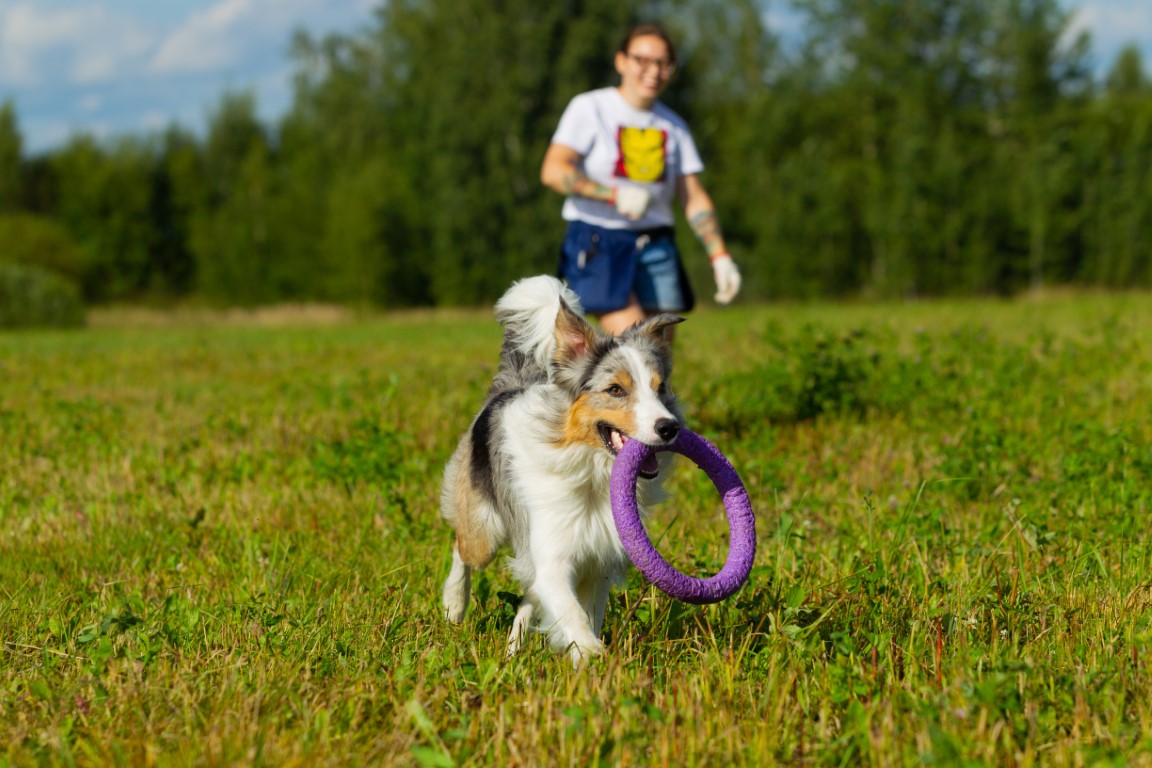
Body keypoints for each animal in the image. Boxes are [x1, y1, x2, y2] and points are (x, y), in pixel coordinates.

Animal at [435, 276, 677, 667]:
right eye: (615, 389)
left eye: (661, 388)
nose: (670, 428)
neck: (592, 472)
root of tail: (509, 384)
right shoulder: (551, 556)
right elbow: (572, 612)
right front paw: (592, 655)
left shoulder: (598, 562)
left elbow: (586, 612)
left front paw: (588, 655)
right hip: (483, 527)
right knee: (463, 547)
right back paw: (454, 605)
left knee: (528, 599)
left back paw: (512, 650)